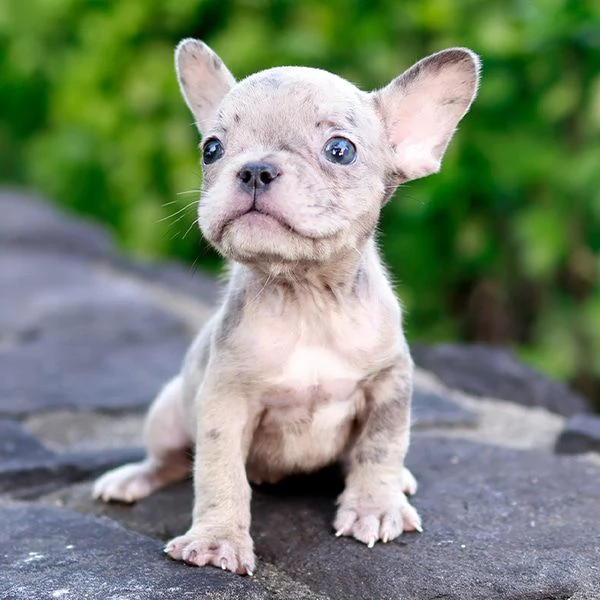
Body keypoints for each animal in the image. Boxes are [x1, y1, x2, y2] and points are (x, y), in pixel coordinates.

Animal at [92, 38, 478, 576]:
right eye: (211, 148)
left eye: (340, 150)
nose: (255, 168)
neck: (305, 296)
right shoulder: (225, 401)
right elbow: (219, 473)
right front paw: (216, 539)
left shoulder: (389, 384)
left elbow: (379, 446)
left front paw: (375, 505)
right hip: (169, 412)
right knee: (169, 460)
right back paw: (132, 478)